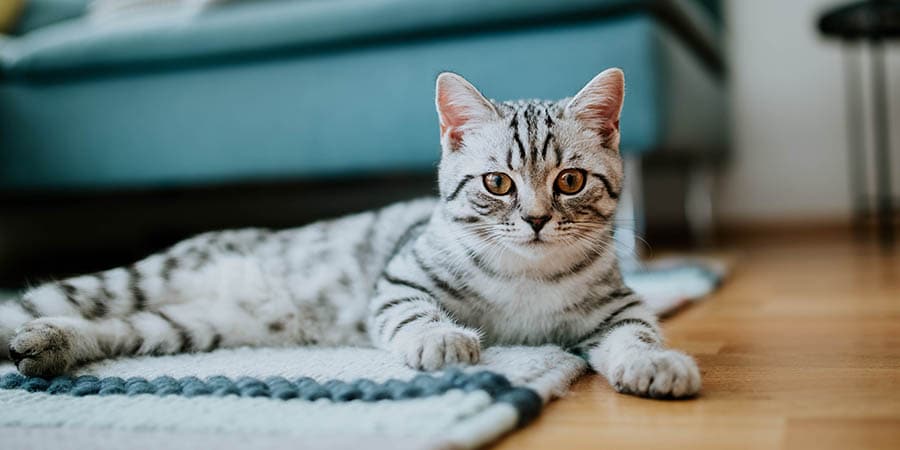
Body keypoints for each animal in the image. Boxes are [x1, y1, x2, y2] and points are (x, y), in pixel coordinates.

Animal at [0, 68, 700, 400]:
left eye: (571, 181)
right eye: (497, 183)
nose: (534, 219)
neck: (524, 277)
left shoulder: (616, 306)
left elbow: (637, 332)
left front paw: (652, 364)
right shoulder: (399, 277)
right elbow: (414, 312)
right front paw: (441, 340)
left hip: (195, 325)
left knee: (123, 328)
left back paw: (48, 346)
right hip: (143, 278)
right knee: (36, 302)